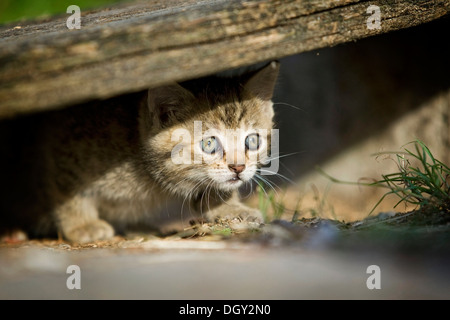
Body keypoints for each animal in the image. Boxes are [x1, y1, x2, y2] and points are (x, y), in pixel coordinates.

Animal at [0, 60, 280, 242]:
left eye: (251, 141)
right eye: (209, 144)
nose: (238, 168)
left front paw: (228, 208)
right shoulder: (64, 136)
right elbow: (67, 188)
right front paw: (82, 224)